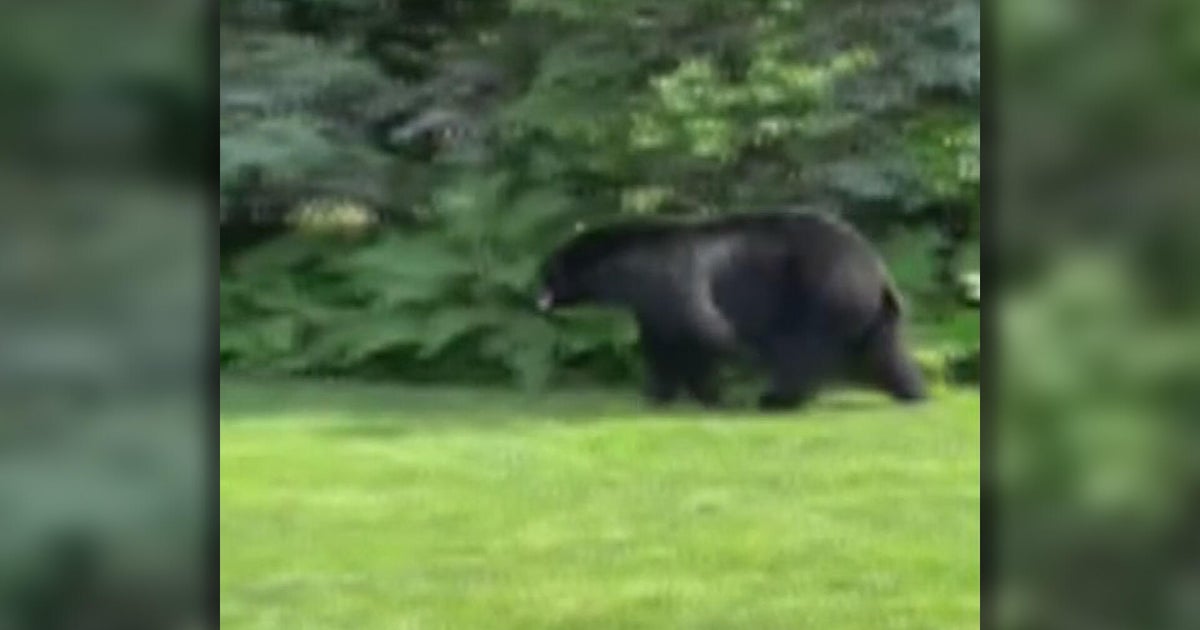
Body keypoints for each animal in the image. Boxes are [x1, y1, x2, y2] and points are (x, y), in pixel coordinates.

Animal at [535, 210, 927, 410]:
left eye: (548, 274)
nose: (538, 300)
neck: (627, 270)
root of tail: (878, 270)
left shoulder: (672, 284)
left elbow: (703, 334)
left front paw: (709, 394)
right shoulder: (652, 306)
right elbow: (661, 344)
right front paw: (659, 393)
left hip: (820, 294)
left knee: (799, 350)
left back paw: (776, 398)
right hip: (873, 314)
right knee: (885, 352)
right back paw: (912, 391)